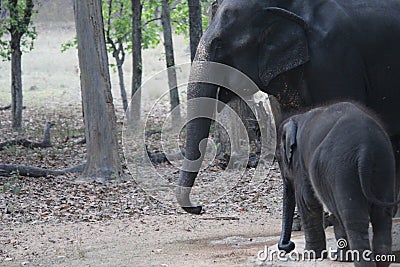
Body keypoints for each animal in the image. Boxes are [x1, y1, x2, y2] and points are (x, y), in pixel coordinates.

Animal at [276, 101, 398, 266]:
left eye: (278, 158)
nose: (289, 245)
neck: (297, 117)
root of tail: (365, 149)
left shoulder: (300, 163)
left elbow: (307, 202)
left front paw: (310, 256)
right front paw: (340, 258)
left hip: (342, 170)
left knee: (353, 219)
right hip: (384, 166)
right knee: (381, 217)